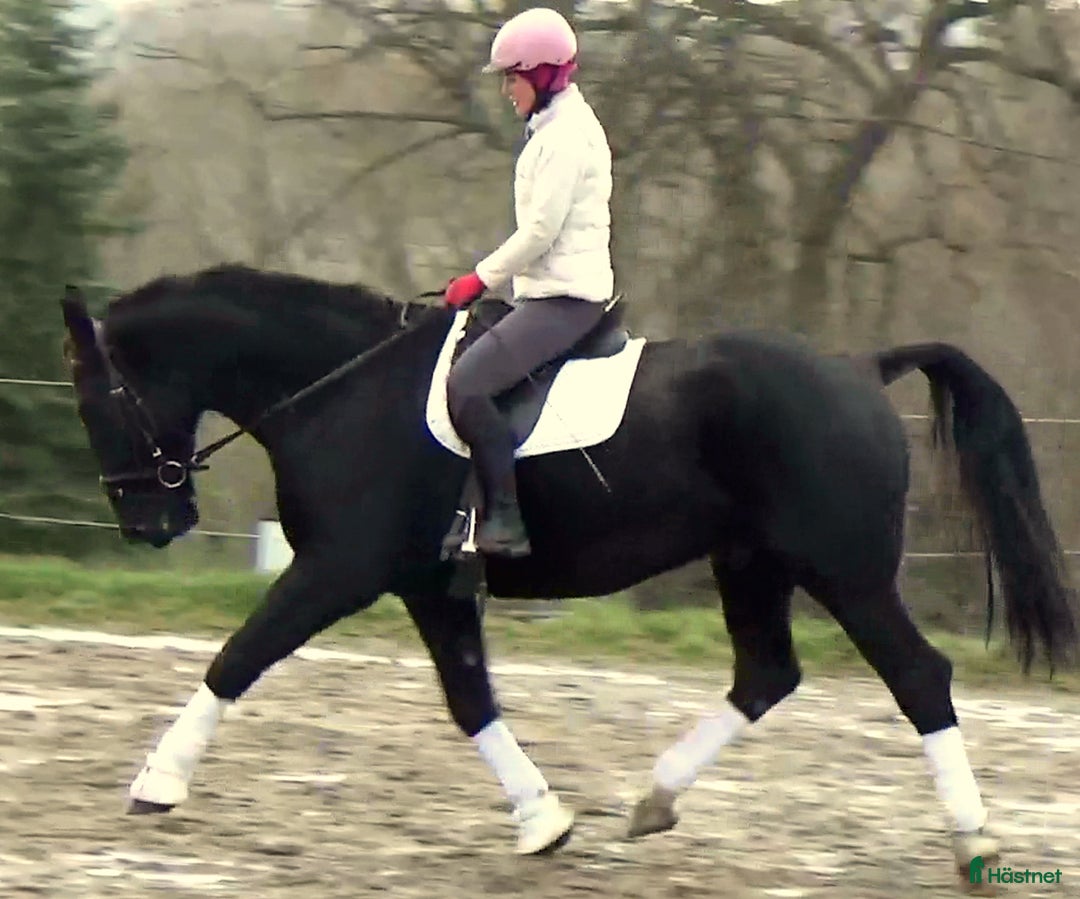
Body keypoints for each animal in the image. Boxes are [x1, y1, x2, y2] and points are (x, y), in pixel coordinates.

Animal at [59, 263, 1077, 877]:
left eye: (99, 399)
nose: (151, 522)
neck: (343, 390)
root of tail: (862, 369)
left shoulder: (339, 570)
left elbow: (238, 657)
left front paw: (156, 782)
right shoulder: (427, 584)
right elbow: (470, 698)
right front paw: (543, 821)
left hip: (845, 572)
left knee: (919, 676)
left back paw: (975, 841)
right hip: (751, 561)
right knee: (767, 674)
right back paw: (653, 800)